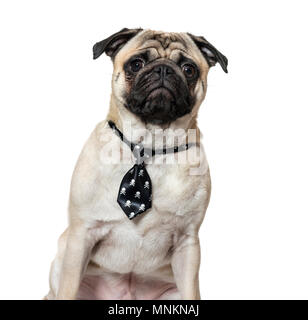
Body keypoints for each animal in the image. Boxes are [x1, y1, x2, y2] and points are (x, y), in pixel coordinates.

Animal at [44, 27, 227, 300]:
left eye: (189, 69)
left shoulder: (188, 243)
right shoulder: (81, 236)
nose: (163, 69)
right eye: (136, 64)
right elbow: (68, 286)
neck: (149, 146)